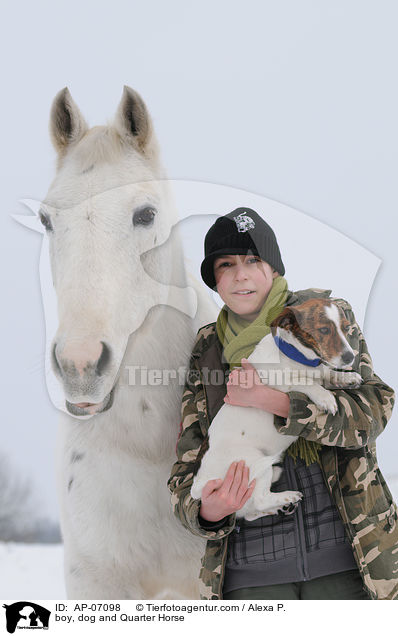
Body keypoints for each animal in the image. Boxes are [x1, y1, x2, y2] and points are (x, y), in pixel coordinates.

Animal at [191, 298, 362, 520]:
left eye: (346, 328)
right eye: (324, 330)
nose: (350, 357)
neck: (298, 358)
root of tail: (199, 485)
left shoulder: (320, 370)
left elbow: (327, 373)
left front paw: (347, 377)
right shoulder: (278, 384)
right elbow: (306, 381)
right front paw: (325, 397)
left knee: (251, 512)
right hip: (253, 461)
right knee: (260, 499)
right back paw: (288, 496)